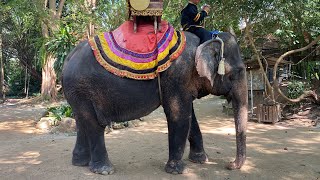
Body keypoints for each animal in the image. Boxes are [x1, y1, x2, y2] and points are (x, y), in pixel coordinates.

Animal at [62, 31, 248, 175]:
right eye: (235, 74)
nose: (229, 165)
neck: (204, 40)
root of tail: (67, 59)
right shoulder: (176, 77)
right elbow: (179, 115)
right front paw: (177, 171)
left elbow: (191, 118)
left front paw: (201, 160)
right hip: (82, 87)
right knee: (93, 123)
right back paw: (105, 170)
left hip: (76, 92)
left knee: (81, 120)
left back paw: (80, 163)